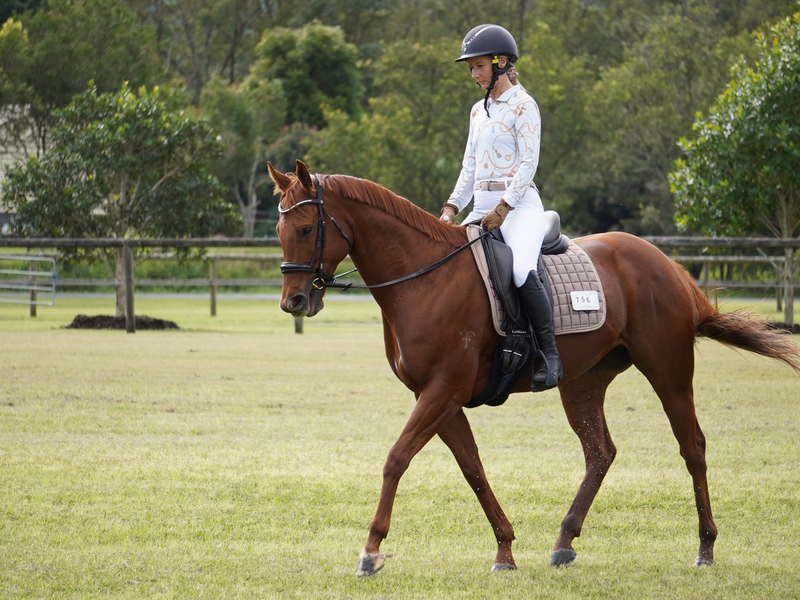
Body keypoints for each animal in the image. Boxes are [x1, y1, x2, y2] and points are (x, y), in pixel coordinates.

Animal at [268, 160, 800, 576]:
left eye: (307, 229)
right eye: (279, 232)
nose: (293, 302)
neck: (425, 279)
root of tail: (666, 264)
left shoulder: (442, 391)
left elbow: (396, 458)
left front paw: (371, 550)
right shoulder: (440, 396)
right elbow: (473, 468)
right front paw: (504, 549)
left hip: (668, 372)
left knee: (692, 447)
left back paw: (705, 547)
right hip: (583, 382)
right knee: (600, 452)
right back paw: (564, 542)